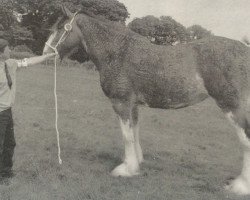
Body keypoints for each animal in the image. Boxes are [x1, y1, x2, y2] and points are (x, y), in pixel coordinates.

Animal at [43, 6, 250, 195]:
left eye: (60, 28)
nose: (45, 53)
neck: (117, 52)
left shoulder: (121, 103)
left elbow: (126, 136)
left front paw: (126, 169)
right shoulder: (133, 105)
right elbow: (134, 132)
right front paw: (136, 163)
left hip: (232, 105)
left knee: (245, 140)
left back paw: (240, 186)